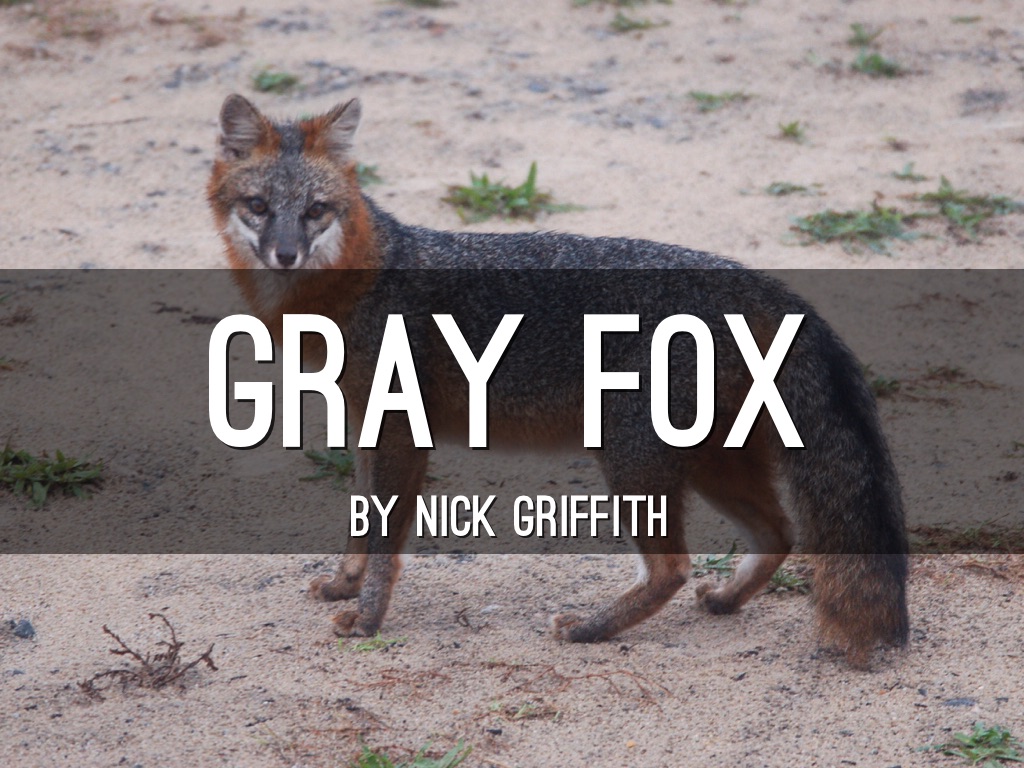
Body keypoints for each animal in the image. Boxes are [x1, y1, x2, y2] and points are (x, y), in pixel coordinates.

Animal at [207, 94, 909, 667]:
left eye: (316, 211)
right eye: (259, 207)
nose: (285, 255)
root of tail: (751, 278)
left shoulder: (403, 435)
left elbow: (384, 543)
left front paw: (369, 618)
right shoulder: (367, 426)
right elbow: (361, 524)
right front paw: (343, 585)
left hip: (632, 460)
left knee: (674, 568)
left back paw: (591, 630)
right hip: (710, 463)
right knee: (778, 533)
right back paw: (724, 601)